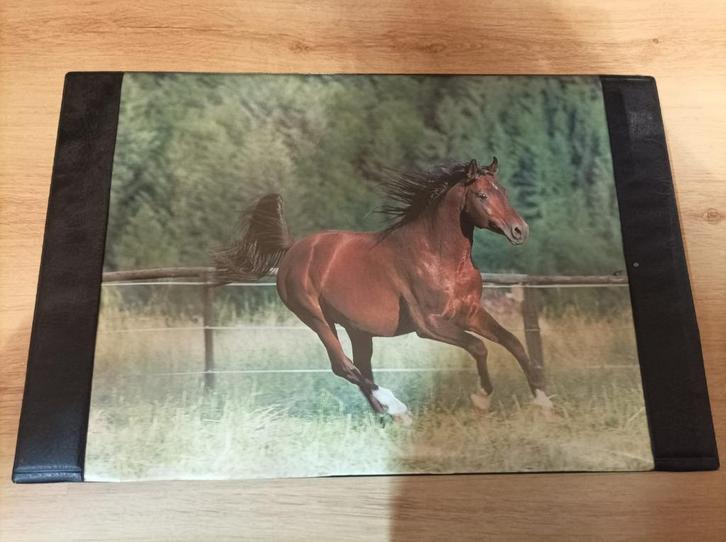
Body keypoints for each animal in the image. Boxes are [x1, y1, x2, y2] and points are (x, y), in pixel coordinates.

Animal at [215, 157, 553, 424]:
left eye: (503, 191)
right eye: (482, 195)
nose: (519, 230)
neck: (437, 254)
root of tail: (292, 250)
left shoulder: (470, 313)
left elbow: (513, 342)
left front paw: (543, 401)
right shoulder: (429, 325)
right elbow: (478, 347)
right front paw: (481, 398)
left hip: (358, 329)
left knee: (360, 367)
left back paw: (388, 416)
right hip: (316, 318)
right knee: (344, 367)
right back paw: (397, 408)